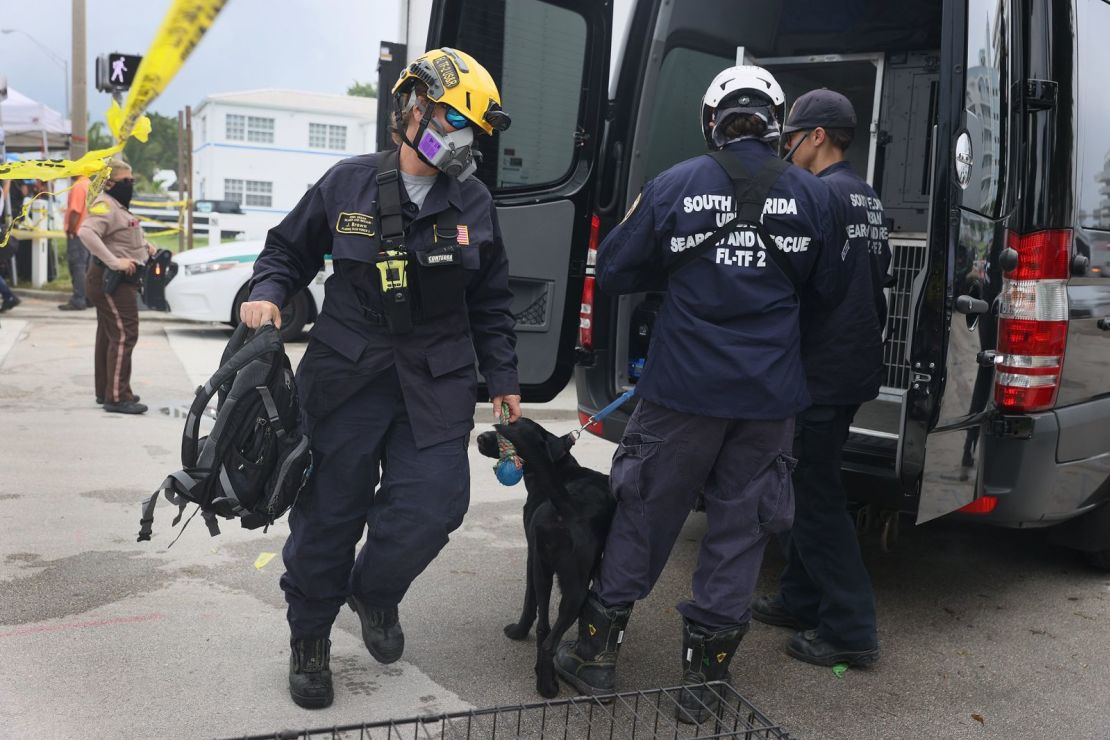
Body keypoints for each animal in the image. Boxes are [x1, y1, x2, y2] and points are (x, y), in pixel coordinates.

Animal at [475, 419, 621, 696]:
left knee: (544, 629)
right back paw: (547, 683)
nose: (479, 437)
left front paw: (518, 632)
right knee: (547, 636)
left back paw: (544, 680)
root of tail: (568, 507)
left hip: (549, 575)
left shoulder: (532, 558)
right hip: (571, 586)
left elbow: (528, 602)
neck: (561, 469)